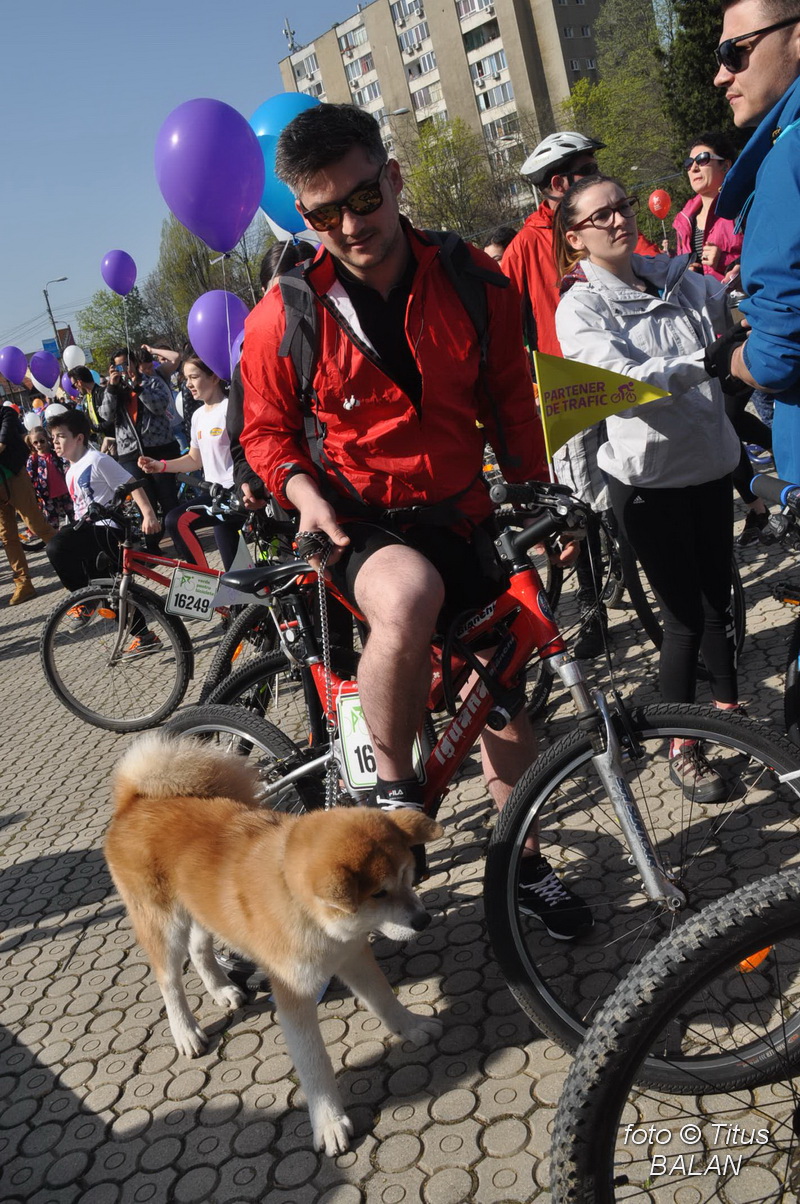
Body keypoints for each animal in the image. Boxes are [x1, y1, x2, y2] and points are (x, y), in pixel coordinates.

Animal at [105, 732, 444, 1156]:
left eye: (408, 877)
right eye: (379, 894)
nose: (423, 920)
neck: (308, 912)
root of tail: (135, 801)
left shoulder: (352, 956)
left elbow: (386, 1002)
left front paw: (411, 1026)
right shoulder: (294, 994)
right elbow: (315, 1064)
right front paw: (329, 1122)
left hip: (202, 910)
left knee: (199, 950)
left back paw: (222, 990)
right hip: (163, 925)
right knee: (169, 981)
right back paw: (185, 1032)